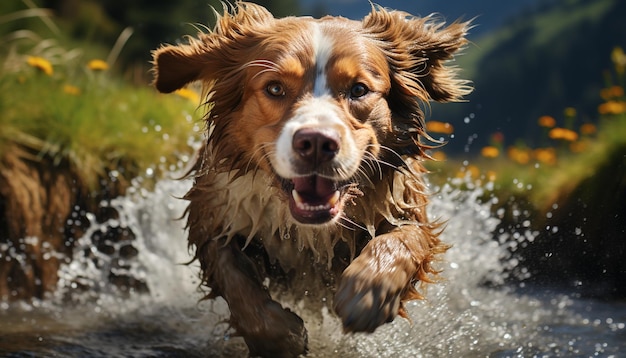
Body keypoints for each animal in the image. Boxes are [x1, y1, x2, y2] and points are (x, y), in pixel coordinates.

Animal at [152, 2, 468, 356]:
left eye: (359, 89)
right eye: (275, 88)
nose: (317, 143)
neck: (306, 230)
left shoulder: (405, 205)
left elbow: (403, 239)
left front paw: (368, 292)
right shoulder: (213, 216)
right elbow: (235, 280)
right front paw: (280, 337)